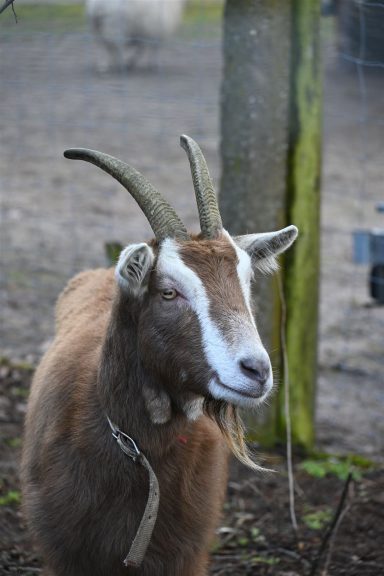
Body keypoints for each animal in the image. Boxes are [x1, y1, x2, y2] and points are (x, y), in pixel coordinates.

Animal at [20, 136, 296, 576]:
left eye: (246, 281)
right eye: (168, 291)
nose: (256, 371)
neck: (138, 451)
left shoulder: (185, 554)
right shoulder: (65, 551)